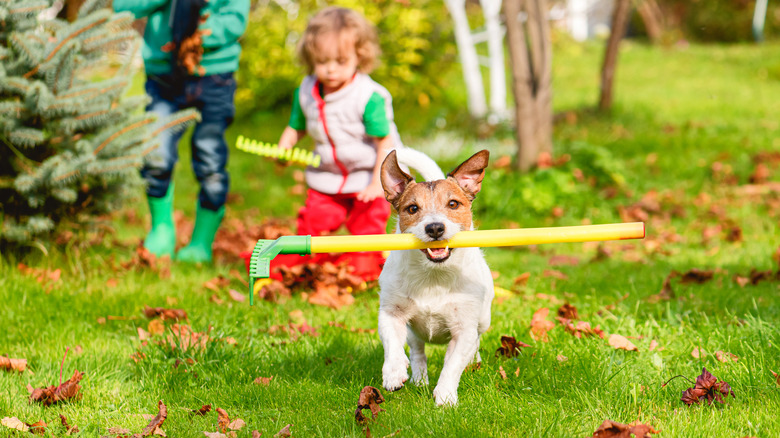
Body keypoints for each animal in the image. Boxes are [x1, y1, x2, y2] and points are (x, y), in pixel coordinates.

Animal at [378, 149, 494, 406]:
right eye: (412, 208)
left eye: (453, 204)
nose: (434, 228)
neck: (433, 274)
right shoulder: (391, 313)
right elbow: (392, 342)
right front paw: (394, 372)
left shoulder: (464, 329)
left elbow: (452, 365)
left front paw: (445, 396)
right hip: (414, 332)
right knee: (417, 350)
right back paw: (419, 378)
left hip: (483, 319)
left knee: (476, 343)